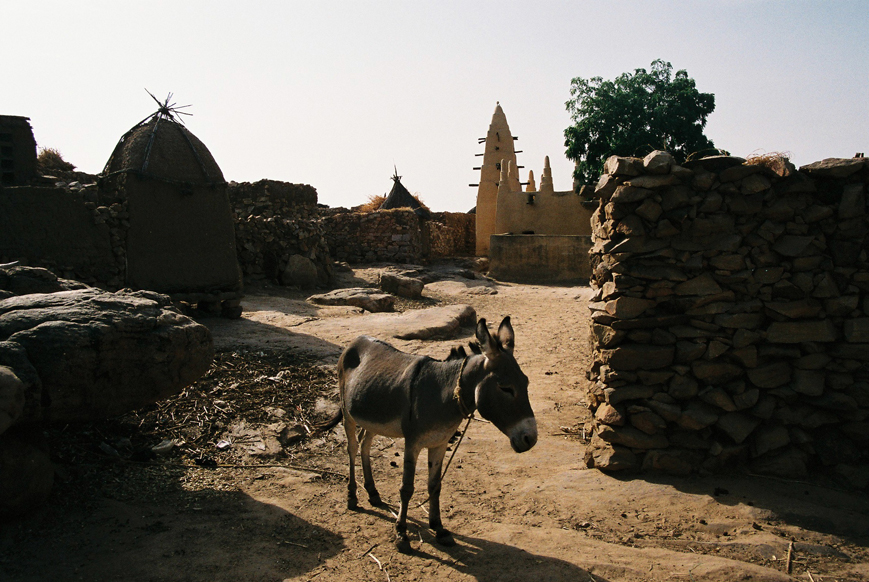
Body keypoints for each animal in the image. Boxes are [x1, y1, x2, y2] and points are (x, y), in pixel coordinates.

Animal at [317, 316, 537, 553]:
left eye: (526, 382)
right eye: (506, 388)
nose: (531, 439)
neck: (444, 394)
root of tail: (356, 340)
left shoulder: (439, 443)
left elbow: (435, 486)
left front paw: (439, 528)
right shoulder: (412, 443)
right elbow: (406, 488)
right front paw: (401, 534)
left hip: (372, 417)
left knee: (364, 444)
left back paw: (373, 493)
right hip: (348, 413)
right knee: (352, 448)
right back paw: (352, 496)